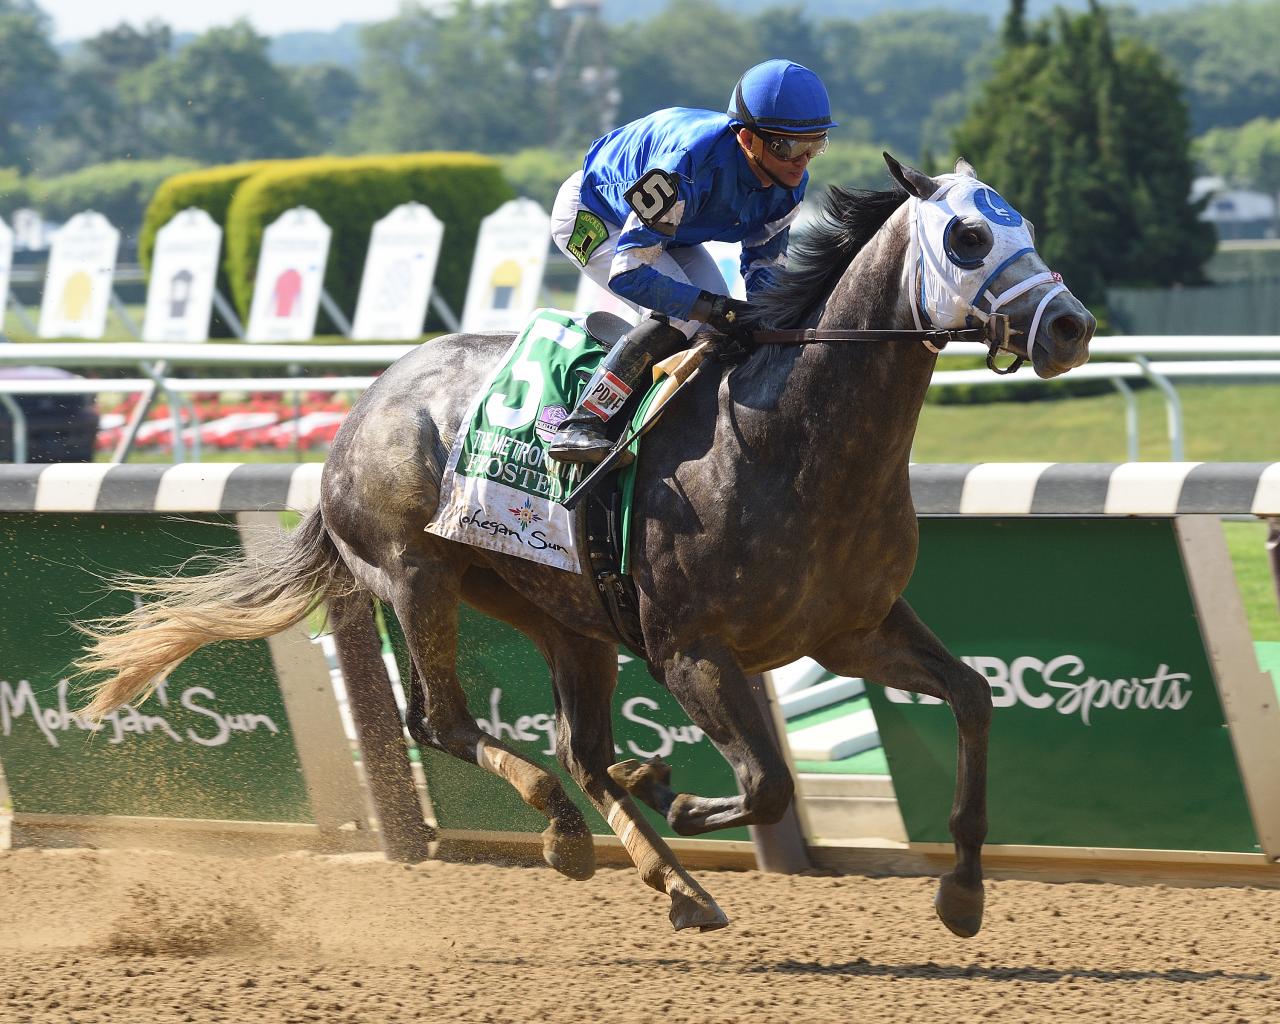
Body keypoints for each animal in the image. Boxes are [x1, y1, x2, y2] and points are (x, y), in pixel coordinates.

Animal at [85, 158, 1095, 936]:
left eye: (1019, 223)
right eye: (968, 237)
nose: (1070, 325)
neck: (787, 441)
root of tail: (358, 413)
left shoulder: (853, 630)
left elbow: (972, 699)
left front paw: (962, 893)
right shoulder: (691, 651)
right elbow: (769, 782)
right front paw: (681, 795)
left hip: (560, 613)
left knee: (579, 747)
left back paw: (676, 882)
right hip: (418, 576)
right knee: (441, 723)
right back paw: (572, 835)